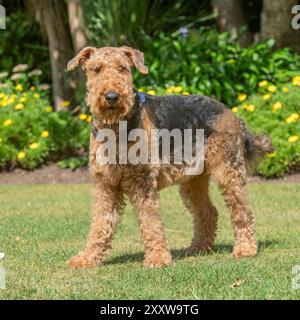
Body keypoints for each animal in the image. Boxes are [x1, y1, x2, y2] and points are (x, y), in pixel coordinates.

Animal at [67, 46, 274, 268]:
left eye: (122, 68)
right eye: (96, 69)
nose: (112, 96)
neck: (115, 128)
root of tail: (232, 112)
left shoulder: (142, 182)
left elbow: (151, 221)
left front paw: (157, 258)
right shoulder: (105, 184)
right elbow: (100, 223)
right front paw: (87, 258)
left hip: (229, 173)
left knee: (243, 211)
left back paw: (245, 249)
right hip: (193, 181)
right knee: (208, 212)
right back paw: (198, 248)